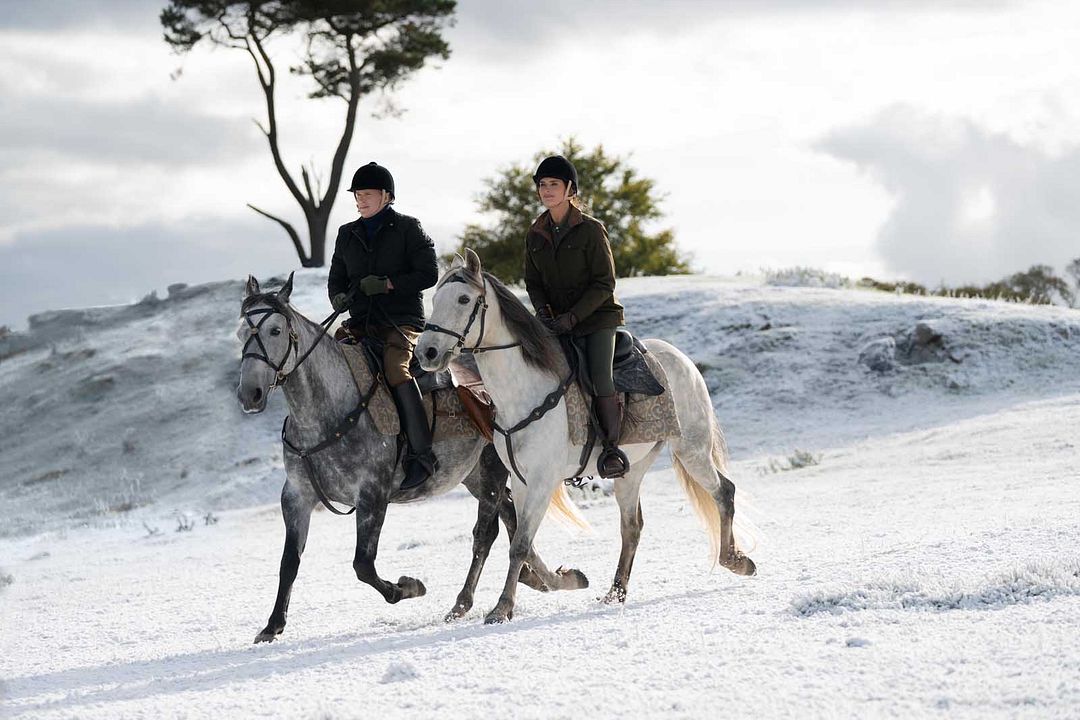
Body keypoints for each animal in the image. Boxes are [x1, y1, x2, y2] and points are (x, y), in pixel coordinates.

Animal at [237, 274, 591, 643]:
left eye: (275, 330)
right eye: (240, 333)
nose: (250, 394)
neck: (328, 411)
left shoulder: (373, 496)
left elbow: (363, 565)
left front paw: (409, 587)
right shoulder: (296, 495)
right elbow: (289, 563)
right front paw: (272, 626)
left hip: (493, 466)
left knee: (491, 529)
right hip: (473, 474)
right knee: (509, 519)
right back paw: (545, 579)